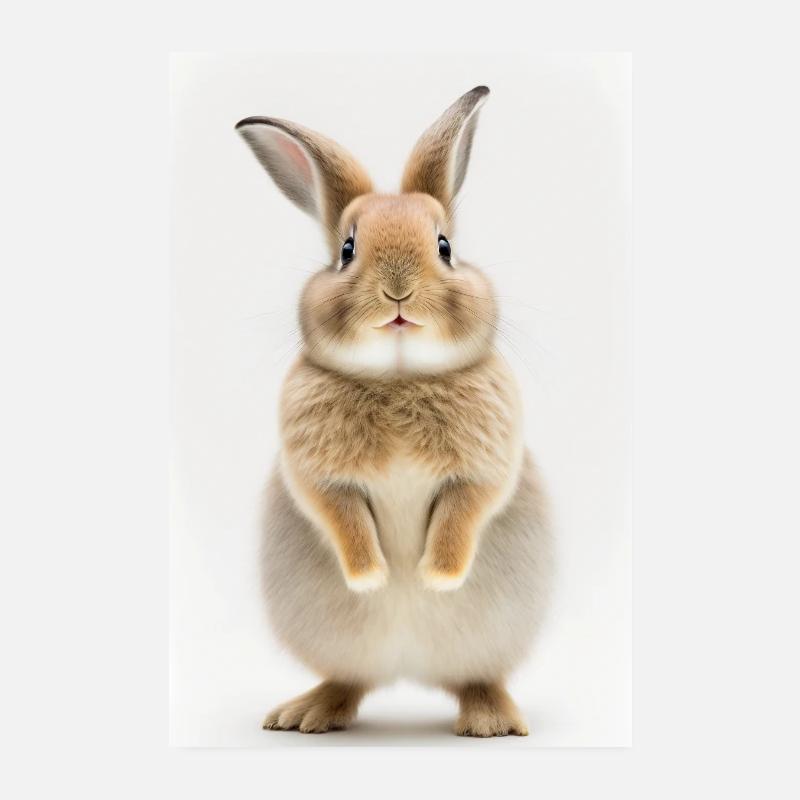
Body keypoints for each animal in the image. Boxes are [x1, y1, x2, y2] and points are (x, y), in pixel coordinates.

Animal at [236, 86, 552, 737]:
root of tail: (408, 673)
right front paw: (373, 577)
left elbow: (462, 515)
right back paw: (305, 714)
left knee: (477, 678)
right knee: (349, 681)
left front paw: (435, 577)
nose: (398, 291)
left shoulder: (484, 470)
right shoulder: (319, 477)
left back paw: (490, 721)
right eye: (347, 250)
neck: (400, 379)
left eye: (445, 247)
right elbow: (344, 520)